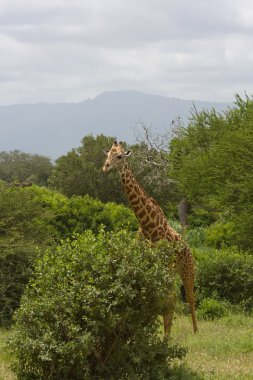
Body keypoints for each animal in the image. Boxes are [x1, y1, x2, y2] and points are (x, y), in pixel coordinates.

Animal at [103, 141, 198, 334]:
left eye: (119, 156)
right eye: (108, 154)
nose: (105, 167)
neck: (148, 226)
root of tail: (188, 249)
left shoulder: (164, 266)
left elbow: (167, 300)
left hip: (187, 269)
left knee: (189, 298)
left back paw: (195, 331)